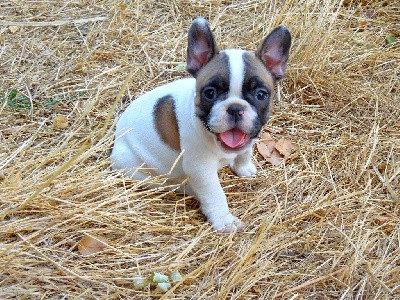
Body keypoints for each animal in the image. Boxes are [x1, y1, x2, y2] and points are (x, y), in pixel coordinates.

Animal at [111, 17, 292, 232]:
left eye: (261, 95)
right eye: (209, 93)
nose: (235, 108)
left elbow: (244, 152)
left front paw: (243, 167)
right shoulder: (201, 169)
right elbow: (215, 193)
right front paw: (224, 221)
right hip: (132, 166)